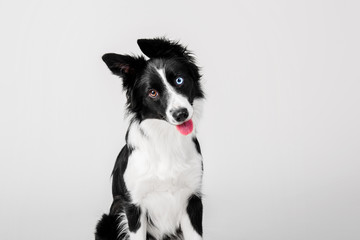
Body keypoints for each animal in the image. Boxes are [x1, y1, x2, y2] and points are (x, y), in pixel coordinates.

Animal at [95, 38, 205, 240]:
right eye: (152, 93)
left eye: (179, 80)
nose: (181, 114)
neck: (166, 139)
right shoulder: (134, 206)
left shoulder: (192, 198)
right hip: (109, 218)